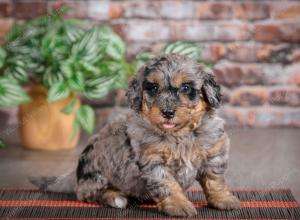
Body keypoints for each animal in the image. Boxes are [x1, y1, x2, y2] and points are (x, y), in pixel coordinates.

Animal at [31, 54, 240, 217]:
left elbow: (215, 180)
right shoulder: (153, 161)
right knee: (89, 194)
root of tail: (75, 177)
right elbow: (168, 185)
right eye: (153, 88)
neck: (179, 136)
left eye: (186, 88)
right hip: (96, 177)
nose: (167, 112)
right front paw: (178, 205)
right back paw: (116, 198)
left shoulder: (213, 154)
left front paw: (224, 199)